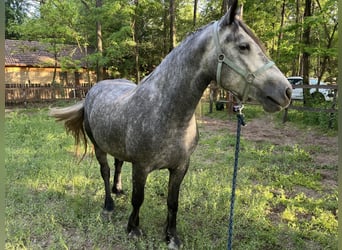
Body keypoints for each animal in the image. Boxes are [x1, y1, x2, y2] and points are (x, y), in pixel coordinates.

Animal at [50, 0, 292, 249]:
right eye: (244, 46)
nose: (286, 91)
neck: (166, 112)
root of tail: (93, 90)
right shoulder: (141, 167)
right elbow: (139, 198)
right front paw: (133, 229)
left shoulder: (180, 167)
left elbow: (172, 201)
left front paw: (171, 236)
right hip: (98, 147)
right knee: (106, 172)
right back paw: (109, 205)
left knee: (117, 165)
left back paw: (118, 190)